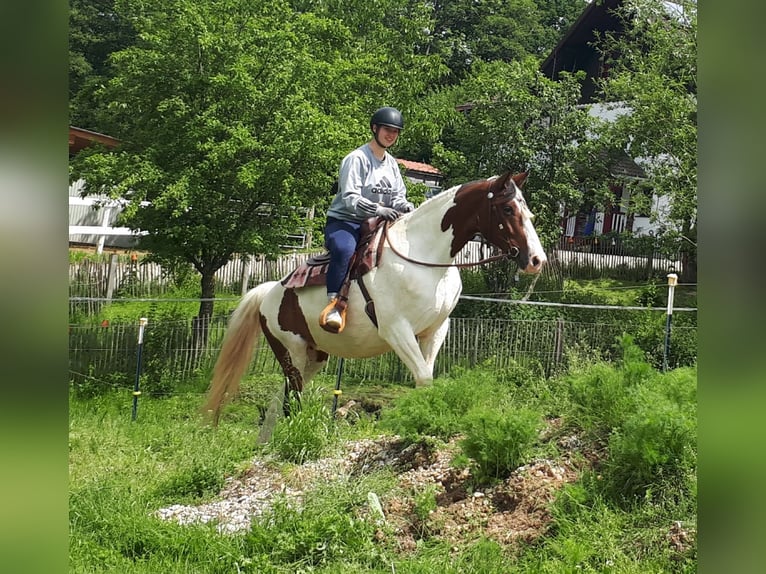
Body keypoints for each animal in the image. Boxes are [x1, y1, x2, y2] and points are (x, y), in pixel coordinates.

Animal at [204, 169, 548, 426]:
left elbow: (427, 377)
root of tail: (269, 292)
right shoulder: (397, 330)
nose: (536, 260)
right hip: (293, 353)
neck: (424, 256)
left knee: (279, 404)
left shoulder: (436, 329)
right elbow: (423, 377)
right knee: (292, 402)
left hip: (313, 357)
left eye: (528, 211)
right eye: (507, 208)